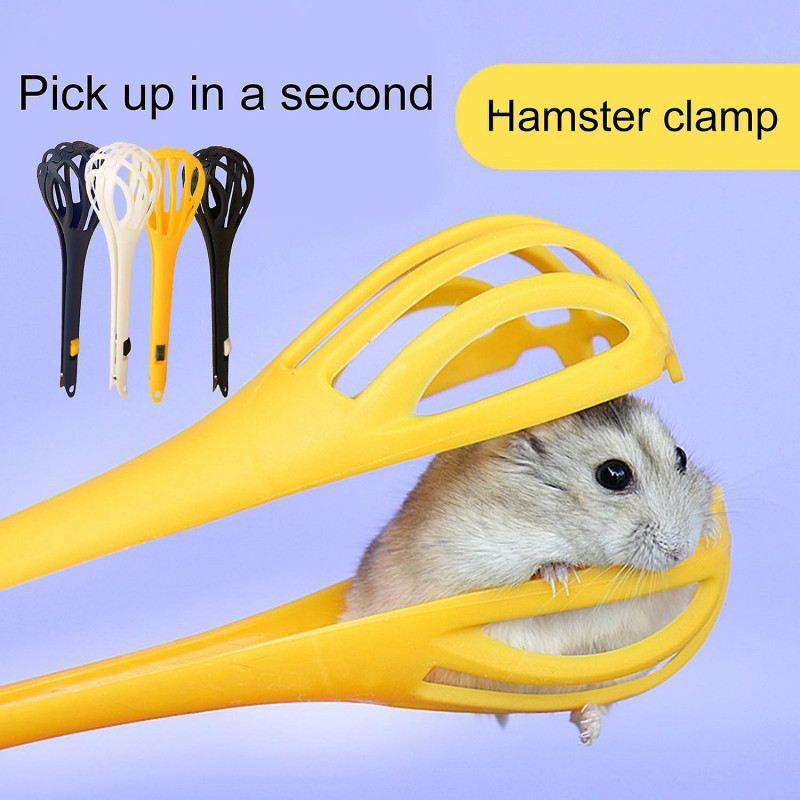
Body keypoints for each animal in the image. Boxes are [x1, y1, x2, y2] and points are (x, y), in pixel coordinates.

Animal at [341, 394, 715, 744]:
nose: (681, 552)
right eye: (613, 474)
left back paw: (589, 729)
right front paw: (561, 575)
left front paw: (711, 533)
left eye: (681, 457)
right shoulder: (462, 566)